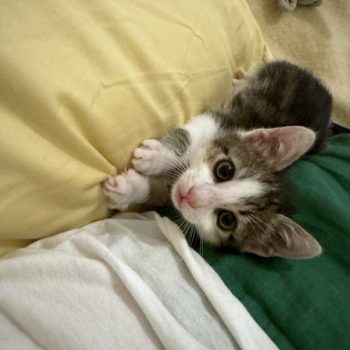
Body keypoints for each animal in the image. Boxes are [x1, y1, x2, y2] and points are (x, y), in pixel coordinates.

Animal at [103, 60, 330, 258]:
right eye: (225, 169)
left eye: (227, 219)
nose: (191, 195)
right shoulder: (220, 121)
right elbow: (191, 135)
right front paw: (156, 157)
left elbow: (162, 192)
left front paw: (128, 189)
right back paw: (240, 79)